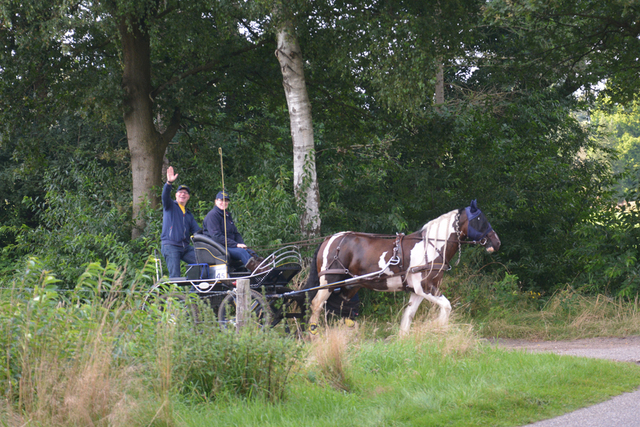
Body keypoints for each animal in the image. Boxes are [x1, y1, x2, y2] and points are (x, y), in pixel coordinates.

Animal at [304, 199, 500, 336]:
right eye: (480, 219)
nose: (496, 243)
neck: (431, 246)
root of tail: (329, 239)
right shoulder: (426, 288)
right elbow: (447, 307)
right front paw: (439, 329)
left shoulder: (417, 291)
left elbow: (408, 317)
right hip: (329, 282)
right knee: (316, 306)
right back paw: (314, 336)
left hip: (349, 287)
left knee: (337, 310)